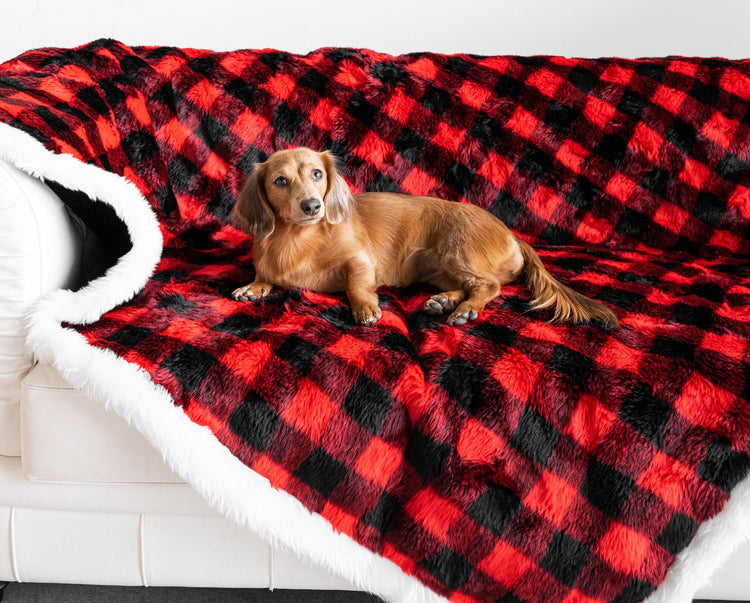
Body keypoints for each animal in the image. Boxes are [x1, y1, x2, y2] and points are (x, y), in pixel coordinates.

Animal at [232, 149, 620, 332]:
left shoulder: (360, 261)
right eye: (280, 181)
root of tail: (513, 236)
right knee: (471, 285)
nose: (313, 206)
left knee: (490, 286)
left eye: (317, 174)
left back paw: (464, 310)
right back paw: (445, 301)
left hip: (456, 250)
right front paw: (254, 286)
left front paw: (366, 308)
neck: (296, 239)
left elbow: (356, 285)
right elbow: (264, 276)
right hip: (441, 269)